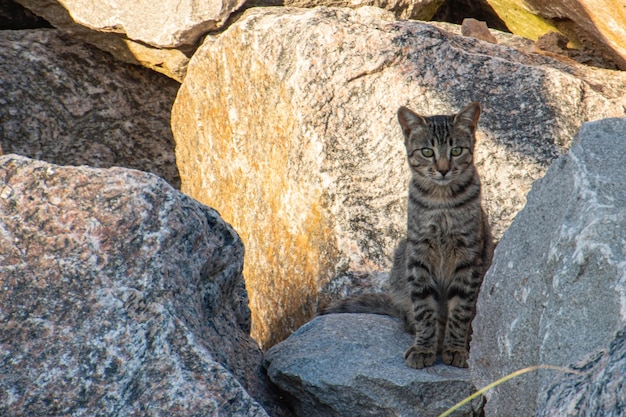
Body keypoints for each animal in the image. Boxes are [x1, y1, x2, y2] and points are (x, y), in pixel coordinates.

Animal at [322, 101, 492, 368]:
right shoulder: (418, 254)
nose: (443, 170)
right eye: (427, 152)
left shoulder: (469, 258)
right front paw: (424, 348)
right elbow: (424, 310)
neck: (441, 203)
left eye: (456, 150)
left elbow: (460, 310)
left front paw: (455, 348)